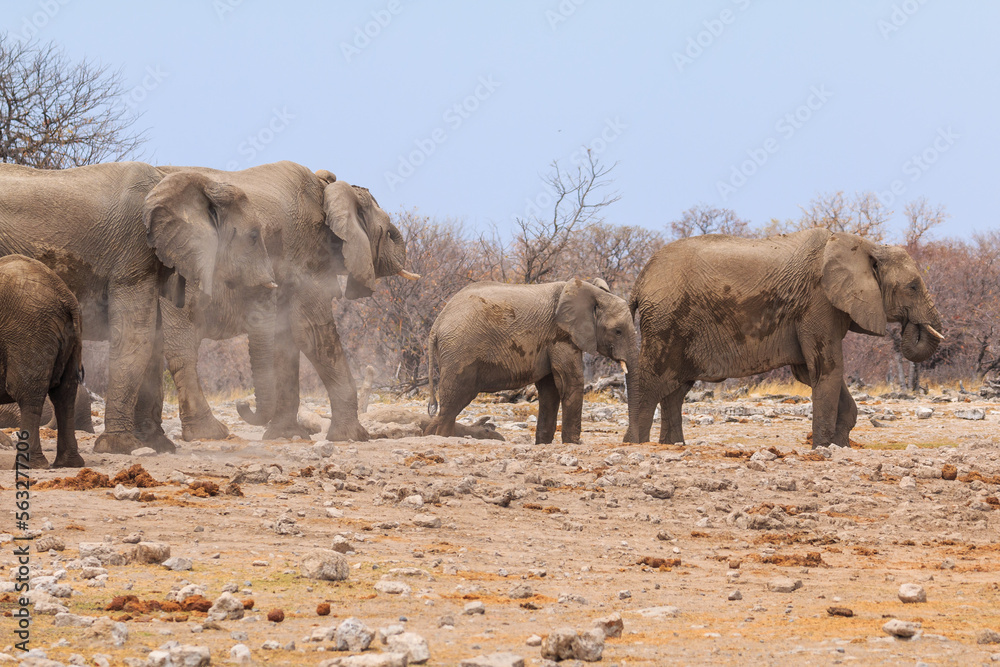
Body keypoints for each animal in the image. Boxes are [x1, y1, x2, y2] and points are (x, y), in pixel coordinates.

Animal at [0, 255, 85, 468]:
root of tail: (65, 295)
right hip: (70, 338)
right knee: (65, 394)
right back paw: (70, 463)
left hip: (29, 332)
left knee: (28, 394)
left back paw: (29, 465)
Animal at [153, 162, 415, 443]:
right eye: (389, 233)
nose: (242, 404)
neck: (327, 190)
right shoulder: (306, 255)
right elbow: (311, 333)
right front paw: (352, 436)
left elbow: (287, 341)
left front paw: (286, 435)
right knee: (182, 351)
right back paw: (210, 433)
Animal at [425, 278, 638, 444]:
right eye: (618, 331)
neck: (590, 291)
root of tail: (436, 325)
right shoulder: (561, 336)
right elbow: (570, 383)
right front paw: (573, 444)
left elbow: (550, 390)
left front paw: (543, 444)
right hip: (459, 352)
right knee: (453, 402)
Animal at [623, 229, 944, 447]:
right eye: (913, 287)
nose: (911, 326)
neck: (866, 245)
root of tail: (639, 280)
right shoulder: (818, 302)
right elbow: (827, 368)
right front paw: (822, 448)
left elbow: (812, 372)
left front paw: (840, 445)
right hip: (665, 319)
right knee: (652, 381)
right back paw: (636, 443)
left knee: (676, 389)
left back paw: (673, 445)